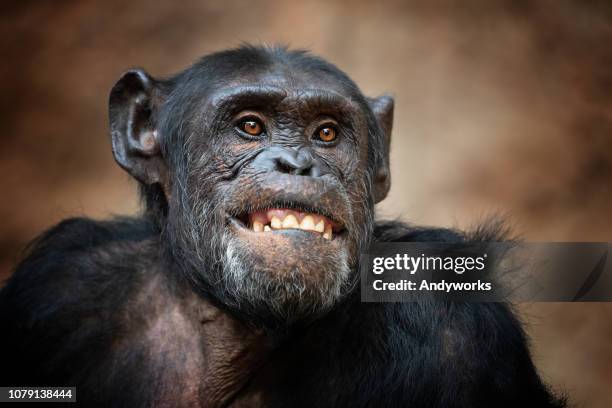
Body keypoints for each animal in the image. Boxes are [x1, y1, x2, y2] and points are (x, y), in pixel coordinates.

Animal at [0, 46, 564, 406]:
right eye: (250, 125)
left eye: (326, 133)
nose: (297, 163)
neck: (235, 325)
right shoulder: (58, 288)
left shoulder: (453, 324)